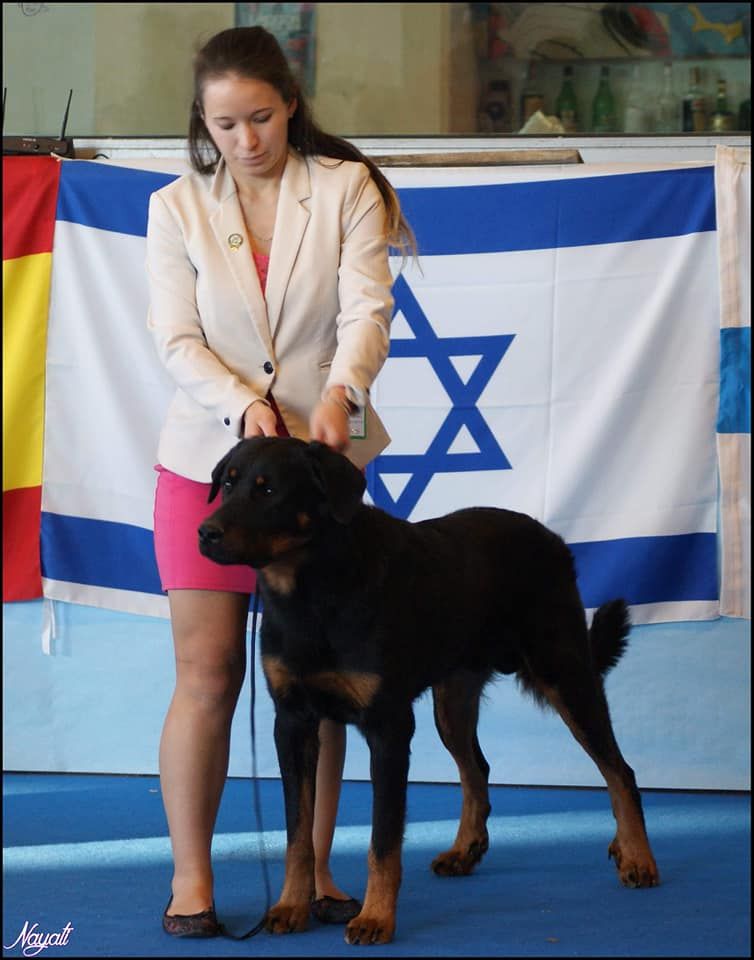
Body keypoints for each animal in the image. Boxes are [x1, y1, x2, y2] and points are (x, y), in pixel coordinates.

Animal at [200, 436, 656, 944]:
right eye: (227, 484)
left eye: (268, 490)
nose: (205, 533)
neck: (312, 590)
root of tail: (554, 541)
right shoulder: (293, 722)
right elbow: (298, 833)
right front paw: (291, 905)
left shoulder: (389, 726)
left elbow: (383, 839)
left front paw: (376, 917)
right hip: (452, 700)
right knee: (477, 769)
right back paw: (466, 850)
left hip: (565, 673)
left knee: (619, 770)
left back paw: (637, 856)